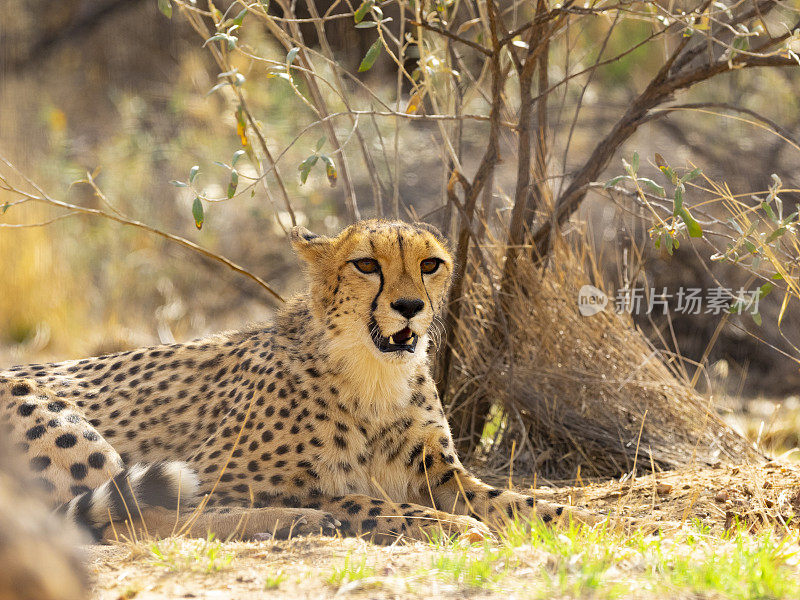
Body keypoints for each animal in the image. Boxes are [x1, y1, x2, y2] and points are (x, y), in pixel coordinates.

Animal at [0, 219, 608, 544]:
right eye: (367, 265)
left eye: (430, 264)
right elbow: (363, 500)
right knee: (138, 519)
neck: (372, 373)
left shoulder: (441, 472)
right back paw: (302, 520)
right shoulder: (218, 475)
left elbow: (514, 499)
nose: (410, 307)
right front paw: (450, 527)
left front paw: (592, 520)